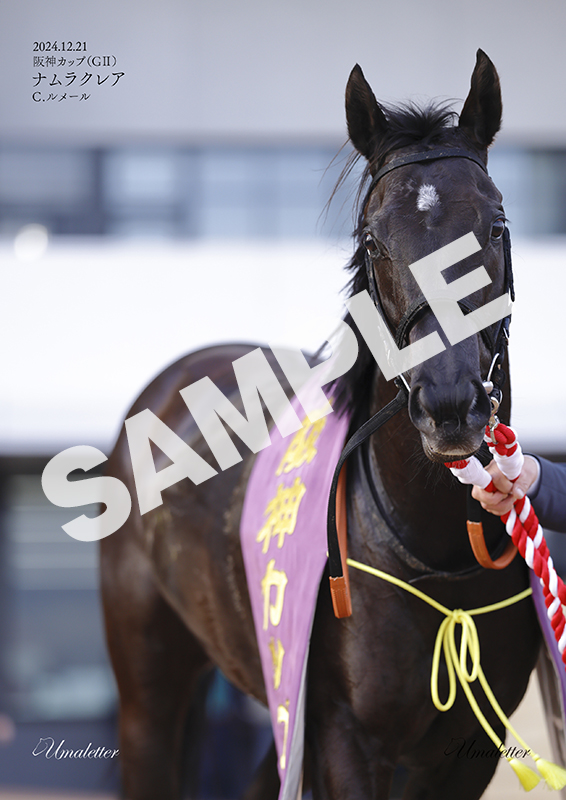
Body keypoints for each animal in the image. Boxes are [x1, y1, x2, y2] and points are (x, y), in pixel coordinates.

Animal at [100, 50, 541, 799]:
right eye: (374, 240)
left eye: (497, 228)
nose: (450, 405)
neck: (435, 555)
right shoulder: (345, 737)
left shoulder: (465, 754)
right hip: (147, 690)